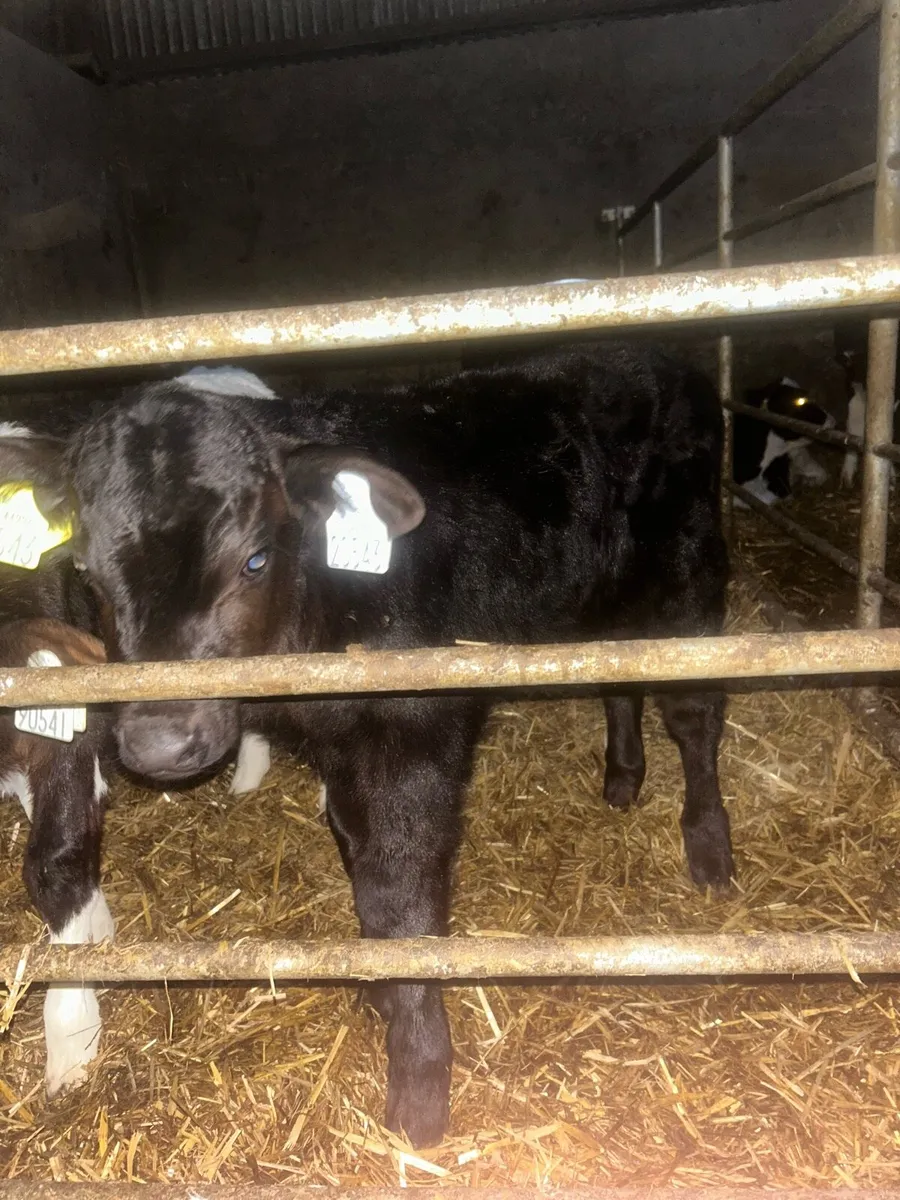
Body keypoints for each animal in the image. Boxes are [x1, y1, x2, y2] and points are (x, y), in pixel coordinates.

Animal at [0, 345, 731, 1147]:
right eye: (86, 572)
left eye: (255, 560)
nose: (160, 743)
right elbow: (361, 865)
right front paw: (381, 992)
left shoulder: (411, 735)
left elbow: (399, 890)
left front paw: (418, 1090)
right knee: (620, 671)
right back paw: (623, 777)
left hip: (690, 577)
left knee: (694, 712)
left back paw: (708, 846)